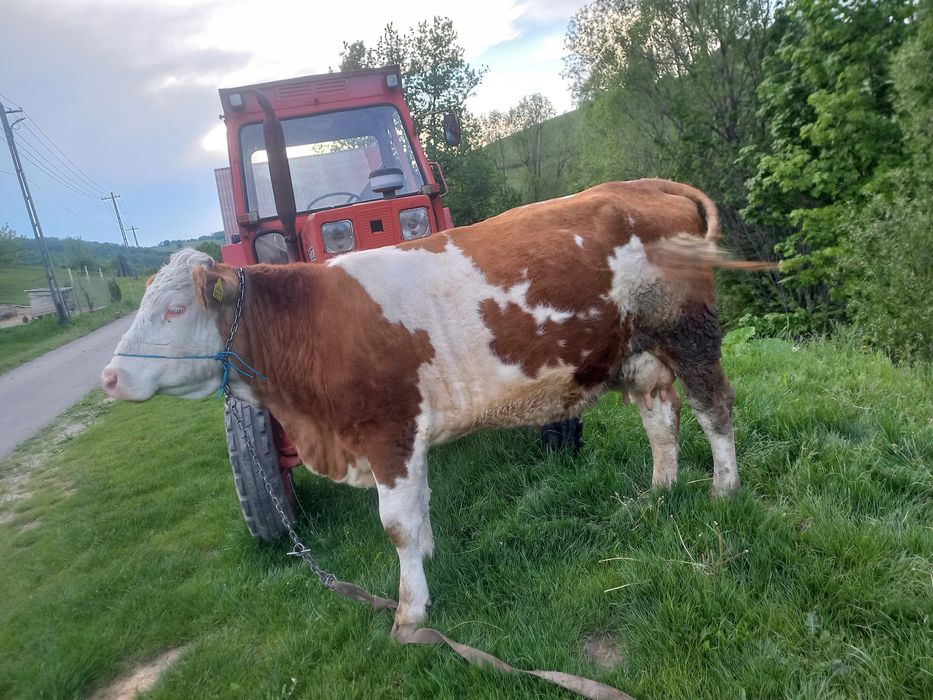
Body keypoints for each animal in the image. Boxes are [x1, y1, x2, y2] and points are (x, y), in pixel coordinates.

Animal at [101, 178, 769, 637]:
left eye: (174, 310)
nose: (109, 375)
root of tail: (641, 185)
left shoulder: (387, 431)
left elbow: (396, 523)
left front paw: (410, 612)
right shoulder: (405, 437)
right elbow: (419, 509)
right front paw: (424, 562)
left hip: (688, 331)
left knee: (714, 406)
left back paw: (724, 489)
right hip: (635, 353)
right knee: (661, 414)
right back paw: (657, 493)